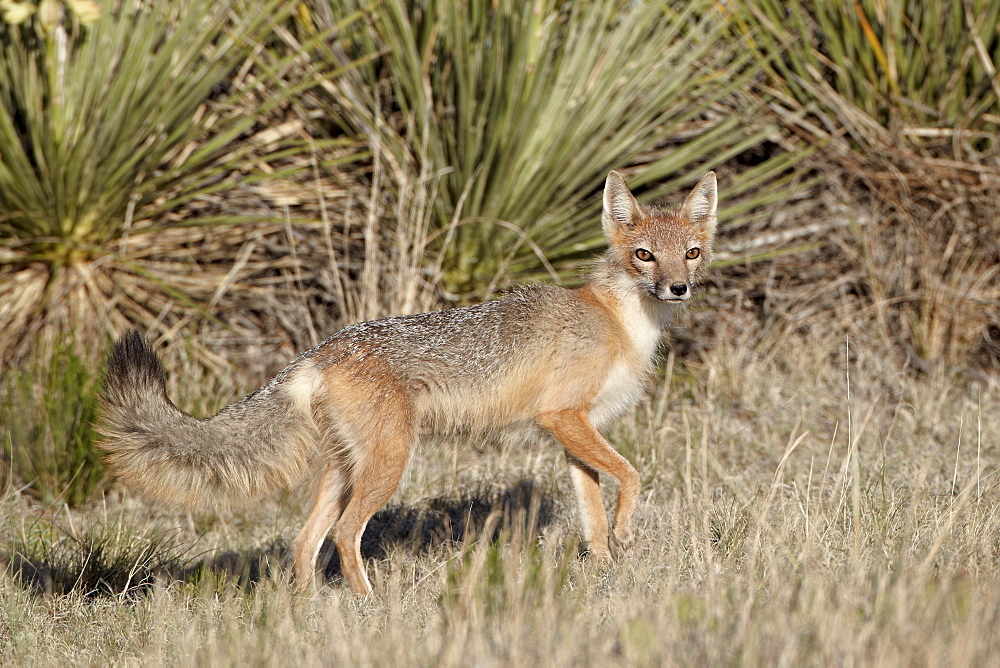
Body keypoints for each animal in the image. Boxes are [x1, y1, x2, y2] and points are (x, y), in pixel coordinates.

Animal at [99, 171, 720, 596]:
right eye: (644, 255)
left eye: (691, 253)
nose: (679, 289)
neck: (619, 321)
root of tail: (323, 348)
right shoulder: (563, 418)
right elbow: (633, 476)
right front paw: (627, 533)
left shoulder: (573, 434)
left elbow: (592, 519)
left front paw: (608, 575)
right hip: (389, 465)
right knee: (344, 536)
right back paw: (369, 606)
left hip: (348, 470)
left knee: (305, 541)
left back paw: (311, 613)